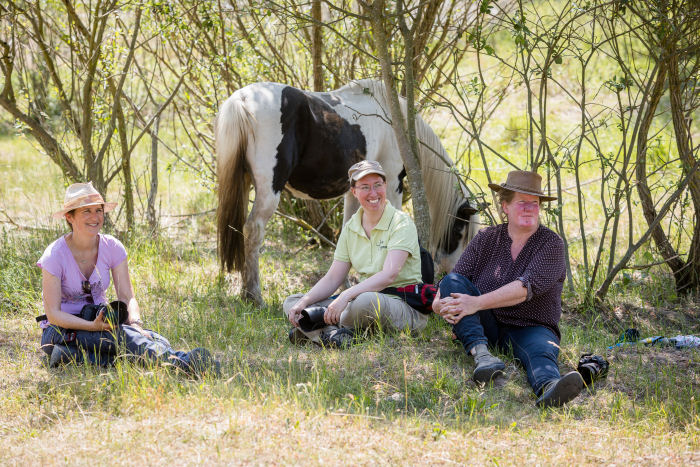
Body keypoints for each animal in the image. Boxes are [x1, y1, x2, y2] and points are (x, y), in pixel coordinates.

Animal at [217, 78, 482, 306]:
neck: (395, 123)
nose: (451, 272)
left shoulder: (355, 192)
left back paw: (244, 292)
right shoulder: (392, 184)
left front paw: (344, 286)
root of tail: (242, 99)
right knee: (253, 230)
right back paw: (255, 295)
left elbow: (347, 233)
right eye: (460, 231)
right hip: (269, 189)